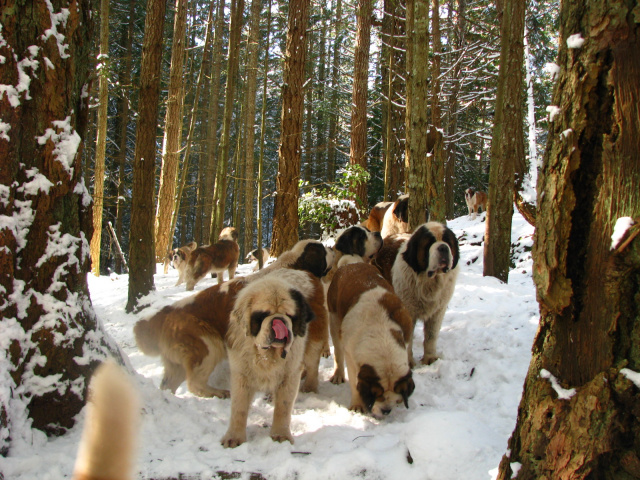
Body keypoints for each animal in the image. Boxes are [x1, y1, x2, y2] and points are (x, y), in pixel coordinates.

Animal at [222, 270, 318, 446]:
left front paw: (281, 435)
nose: (279, 320)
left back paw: (310, 387)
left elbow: (283, 407)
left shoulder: (290, 374)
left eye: (289, 316)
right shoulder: (241, 373)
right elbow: (239, 407)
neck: (266, 355)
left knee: (313, 365)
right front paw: (234, 437)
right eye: (263, 315)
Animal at [324, 262, 416, 416]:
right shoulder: (351, 354)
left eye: (395, 393)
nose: (386, 410)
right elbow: (355, 382)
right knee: (338, 352)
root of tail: (351, 264)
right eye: (376, 394)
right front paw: (357, 405)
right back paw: (338, 374)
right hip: (334, 319)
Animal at [372, 223, 458, 366]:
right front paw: (409, 362)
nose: (443, 247)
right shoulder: (408, 311)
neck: (429, 282)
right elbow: (408, 338)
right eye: (429, 244)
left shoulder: (438, 311)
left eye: (448, 242)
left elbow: (431, 336)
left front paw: (430, 358)